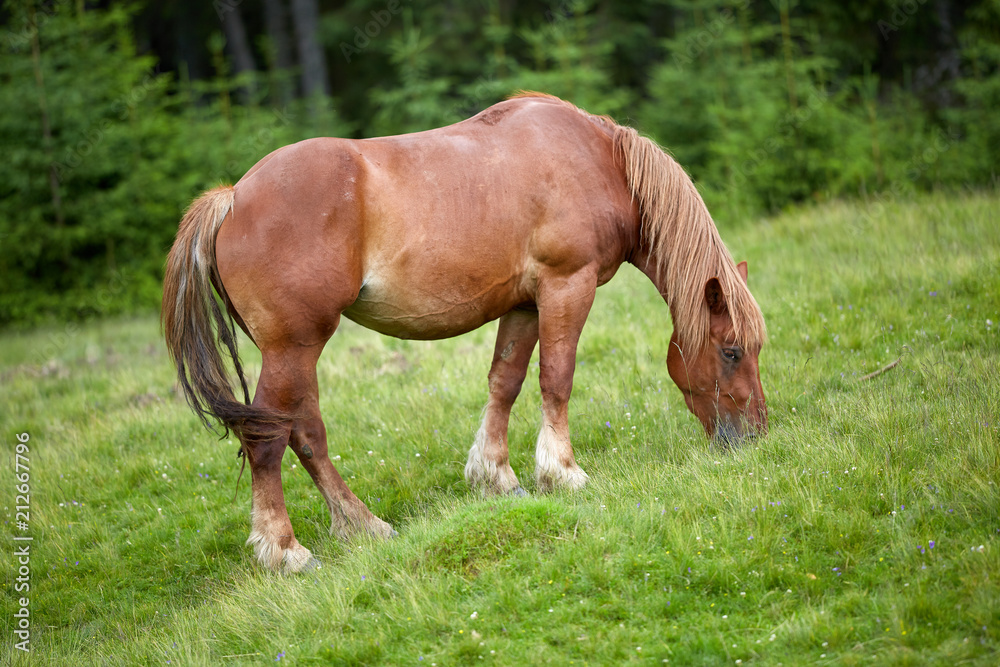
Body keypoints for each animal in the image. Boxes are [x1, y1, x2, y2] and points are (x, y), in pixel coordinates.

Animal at [162, 92, 764, 576]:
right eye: (732, 351)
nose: (756, 434)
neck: (597, 158)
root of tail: (233, 196)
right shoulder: (567, 287)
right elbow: (557, 377)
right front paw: (563, 472)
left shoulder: (523, 303)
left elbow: (507, 381)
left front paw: (497, 475)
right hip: (293, 348)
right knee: (267, 437)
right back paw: (286, 551)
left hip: (298, 351)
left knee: (306, 433)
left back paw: (364, 526)